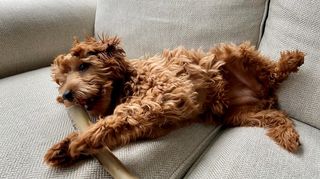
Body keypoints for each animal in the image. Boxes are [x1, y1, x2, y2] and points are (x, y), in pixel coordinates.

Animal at [43, 36, 304, 166]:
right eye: (60, 81)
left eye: (83, 66)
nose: (65, 96)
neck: (124, 83)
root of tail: (265, 94)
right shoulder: (147, 126)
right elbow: (115, 131)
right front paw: (65, 148)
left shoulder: (163, 92)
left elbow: (118, 117)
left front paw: (80, 140)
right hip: (240, 114)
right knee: (277, 116)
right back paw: (287, 134)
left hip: (230, 52)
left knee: (272, 72)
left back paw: (291, 60)